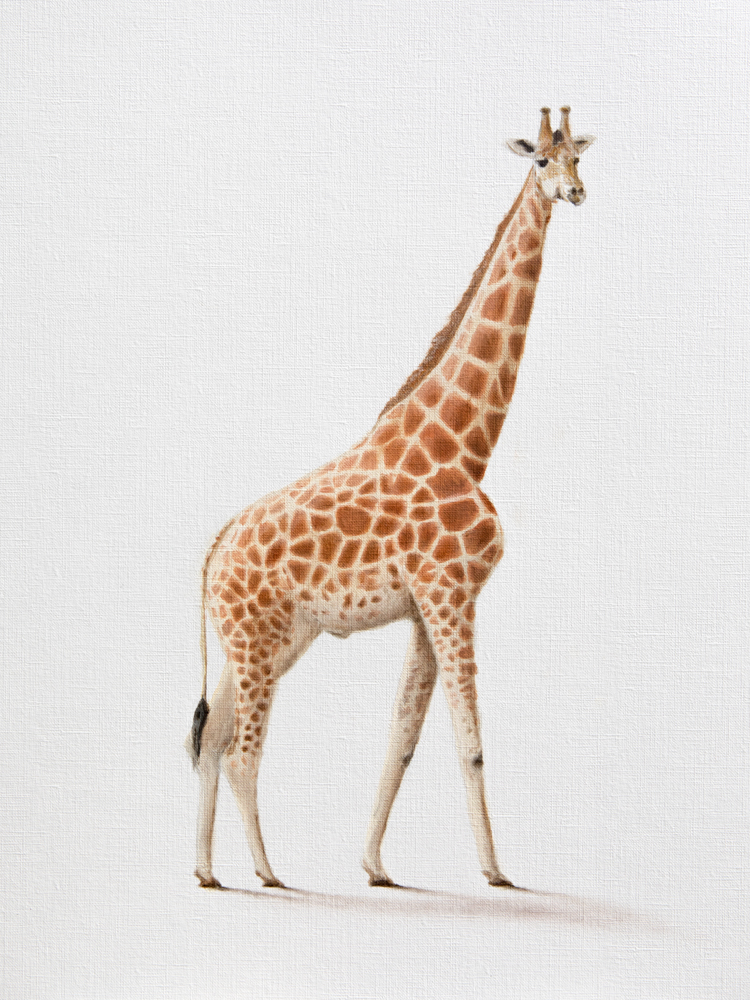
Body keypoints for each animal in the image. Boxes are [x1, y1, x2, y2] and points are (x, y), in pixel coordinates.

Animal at [187, 107, 595, 890]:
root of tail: (212, 555)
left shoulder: (425, 608)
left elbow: (401, 740)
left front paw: (374, 864)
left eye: (580, 158)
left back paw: (205, 871)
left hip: (264, 640)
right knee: (242, 752)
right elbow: (468, 741)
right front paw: (496, 873)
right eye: (539, 161)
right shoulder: (451, 593)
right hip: (256, 643)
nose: (575, 192)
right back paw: (269, 873)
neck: (465, 444)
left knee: (209, 738)